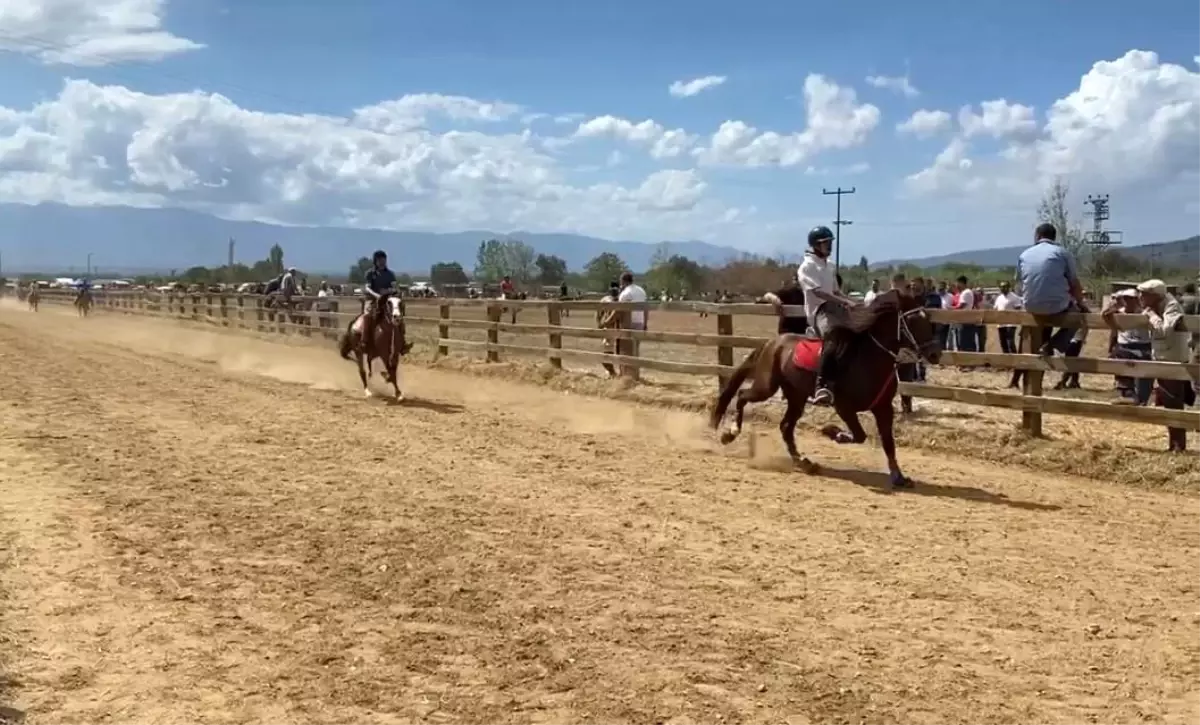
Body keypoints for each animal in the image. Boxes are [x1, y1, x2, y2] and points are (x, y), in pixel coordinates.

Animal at [705, 289, 940, 487]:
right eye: (913, 320)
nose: (935, 354)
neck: (870, 358)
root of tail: (773, 343)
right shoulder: (844, 407)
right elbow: (859, 435)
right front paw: (832, 432)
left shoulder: (883, 408)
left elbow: (888, 443)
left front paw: (898, 477)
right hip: (766, 387)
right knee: (742, 396)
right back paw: (730, 433)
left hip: (796, 397)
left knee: (785, 427)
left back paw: (804, 462)